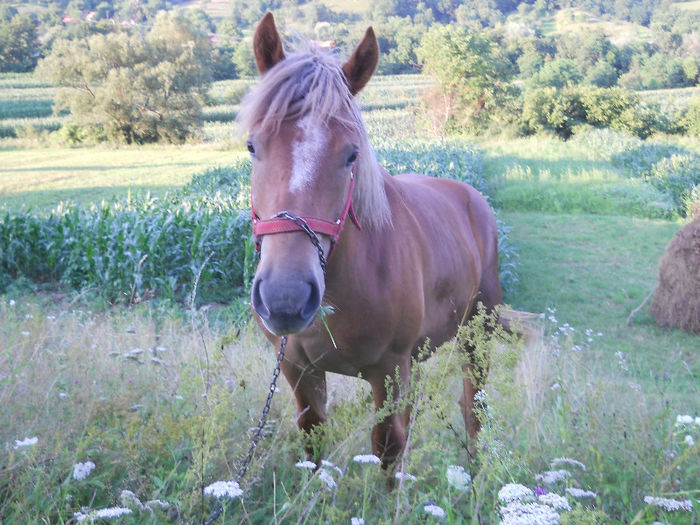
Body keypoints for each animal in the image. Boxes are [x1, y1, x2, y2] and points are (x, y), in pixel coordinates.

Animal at [239, 11, 504, 462]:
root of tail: (473, 198)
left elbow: (389, 448)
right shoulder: (298, 370)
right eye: (253, 147)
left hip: (477, 337)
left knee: (474, 409)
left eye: (351, 154)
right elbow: (313, 439)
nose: (285, 298)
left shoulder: (392, 371)